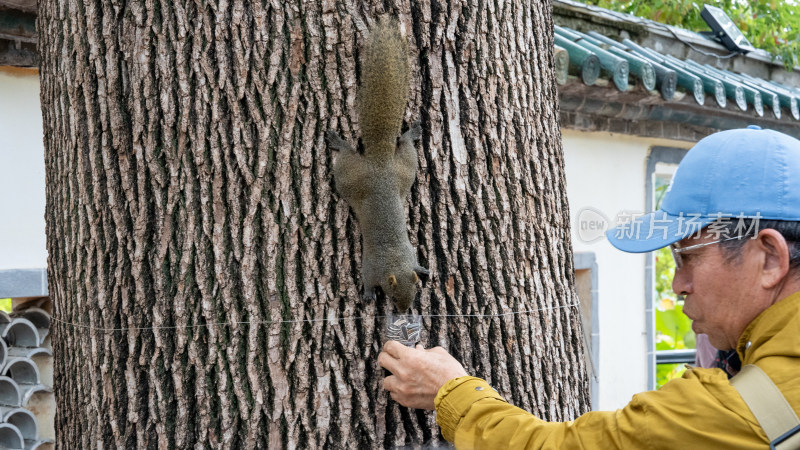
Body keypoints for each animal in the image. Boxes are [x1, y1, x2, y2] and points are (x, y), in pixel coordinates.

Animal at [324, 18, 428, 312]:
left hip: (405, 172)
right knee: (347, 156)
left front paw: (422, 269)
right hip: (350, 176)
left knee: (405, 148)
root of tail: (380, 163)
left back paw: (410, 134)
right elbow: (368, 279)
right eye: (393, 296)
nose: (403, 310)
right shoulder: (371, 266)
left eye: (414, 295)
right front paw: (369, 294)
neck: (395, 261)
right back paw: (340, 142)